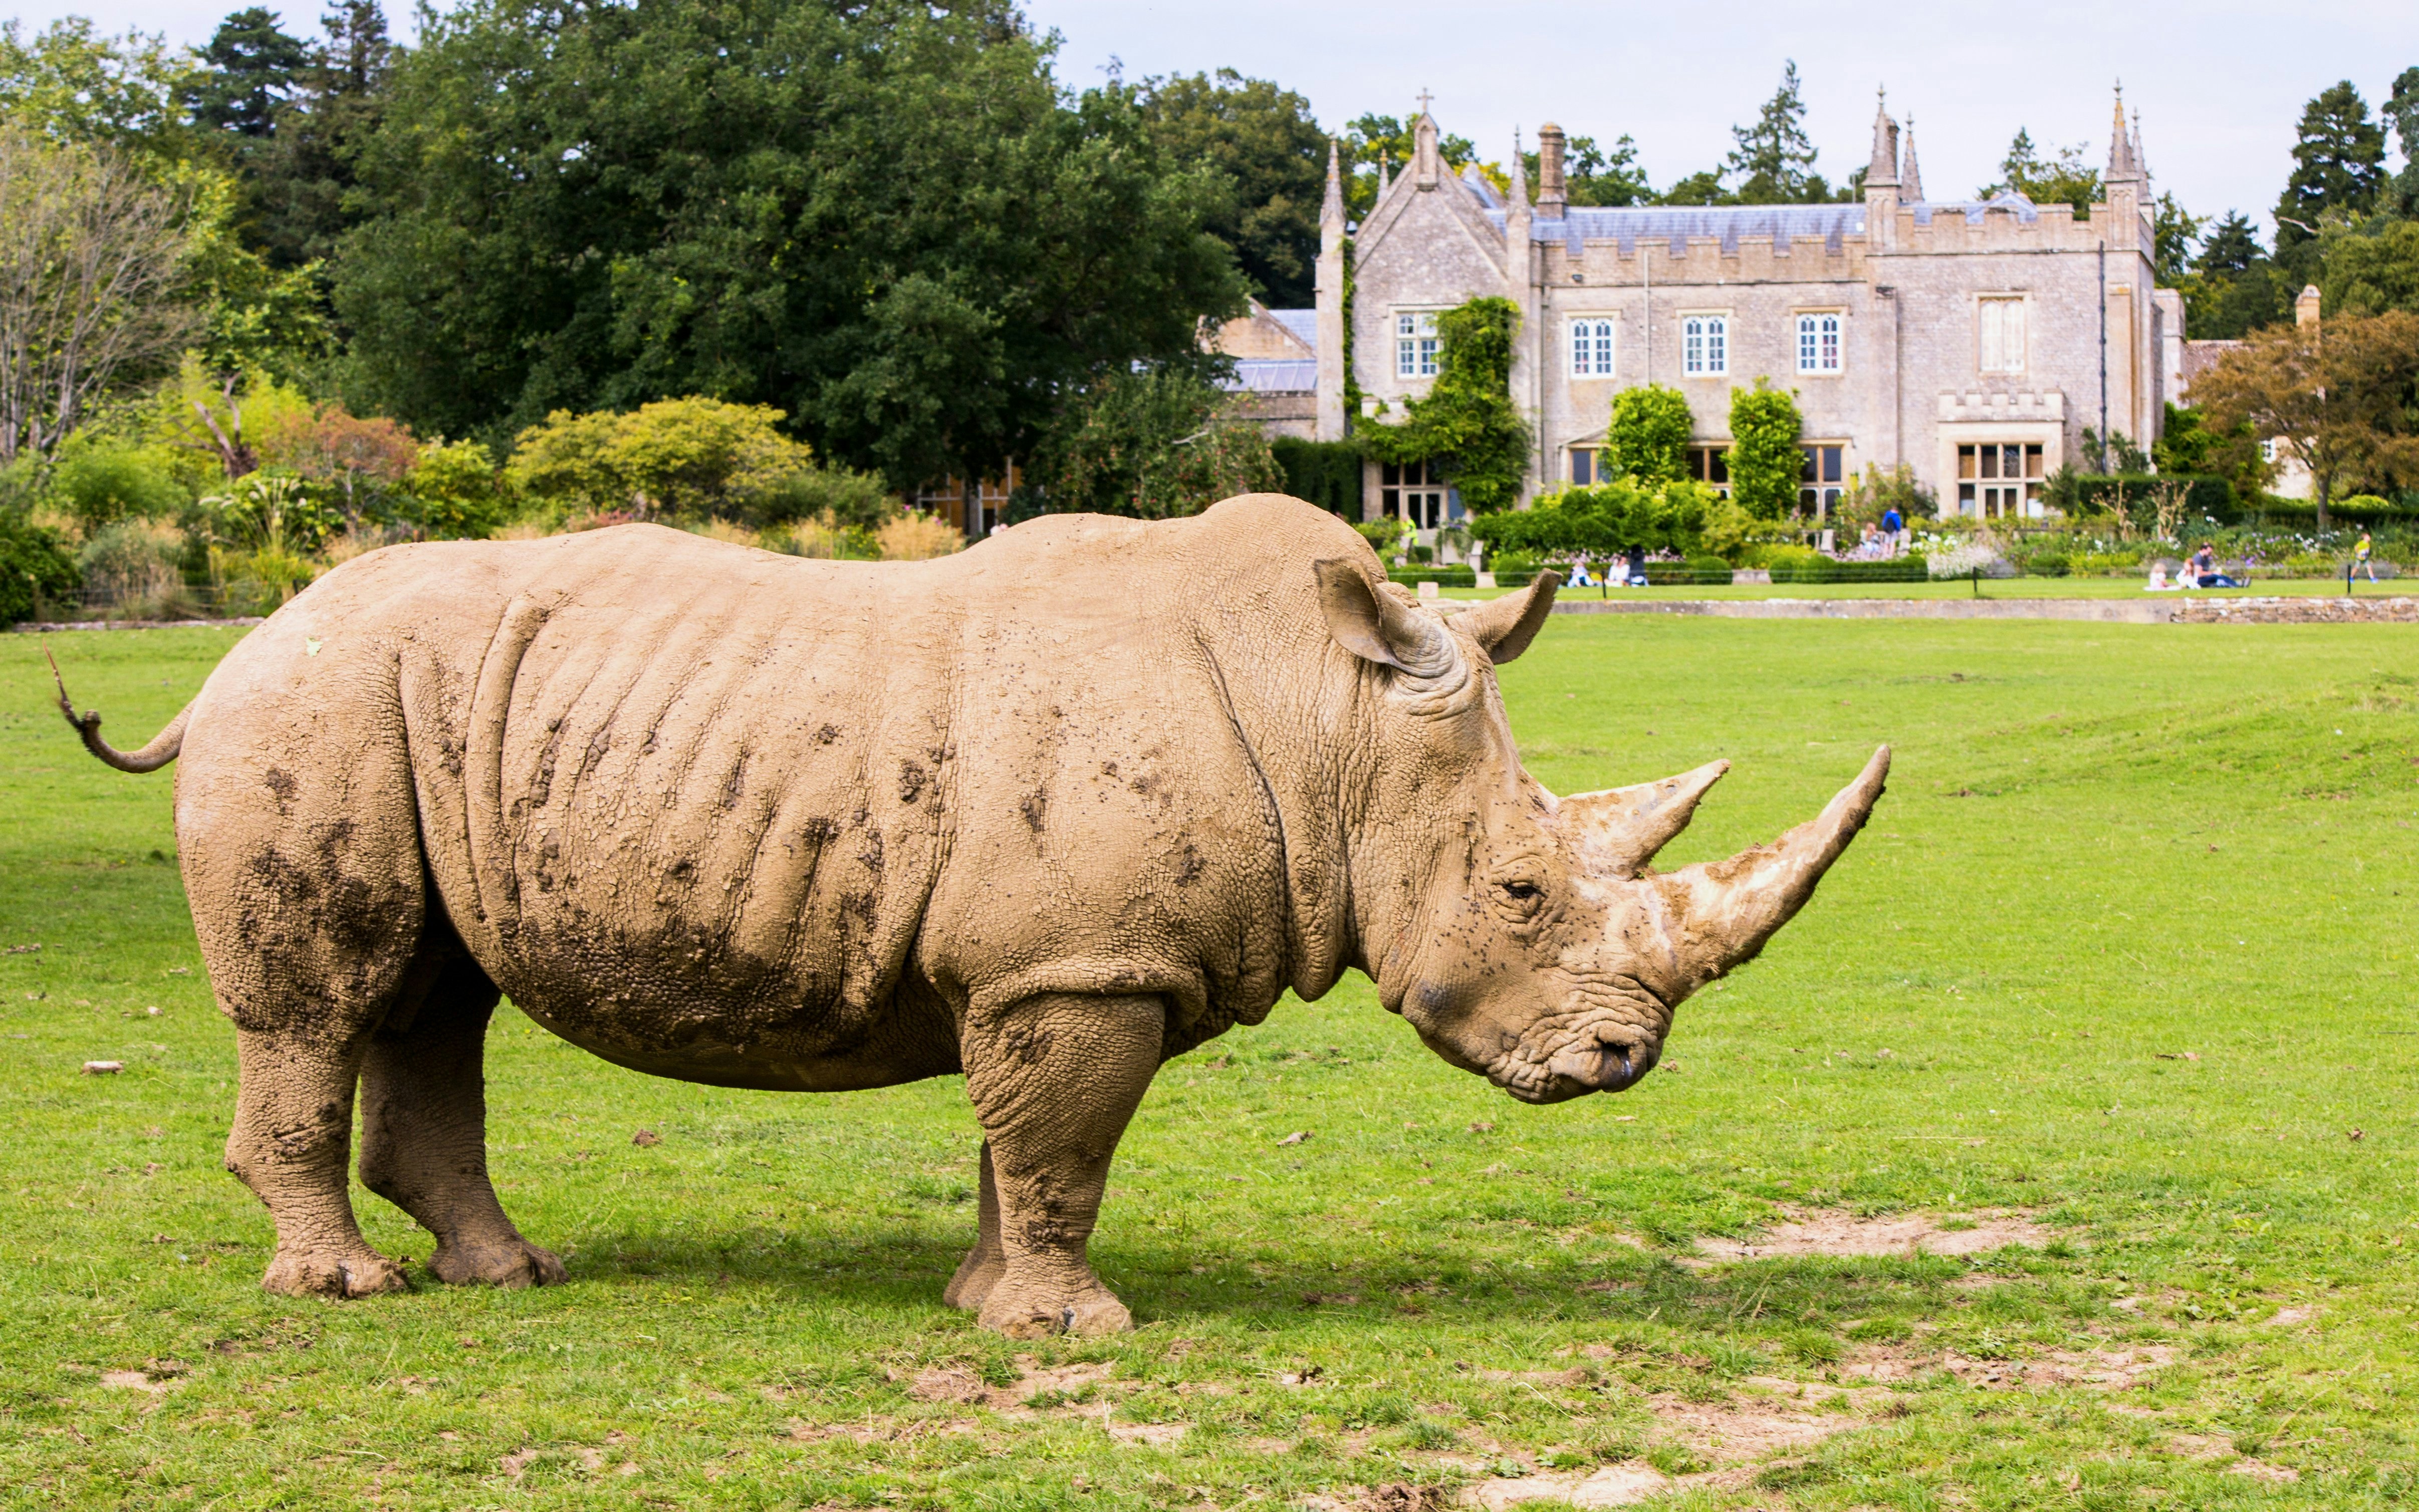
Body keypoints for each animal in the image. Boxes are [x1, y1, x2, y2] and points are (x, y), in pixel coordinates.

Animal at [59, 493, 1885, 1336]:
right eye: (1518, 889)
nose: (1622, 1064)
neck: (1330, 718)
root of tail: (240, 643)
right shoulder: (1080, 965)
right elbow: (1065, 1144)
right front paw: (1080, 1330)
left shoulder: (1030, 964)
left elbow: (1016, 1146)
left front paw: (983, 1305)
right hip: (314, 702)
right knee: (326, 999)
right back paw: (345, 1292)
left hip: (390, 706)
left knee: (438, 994)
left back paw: (510, 1273)